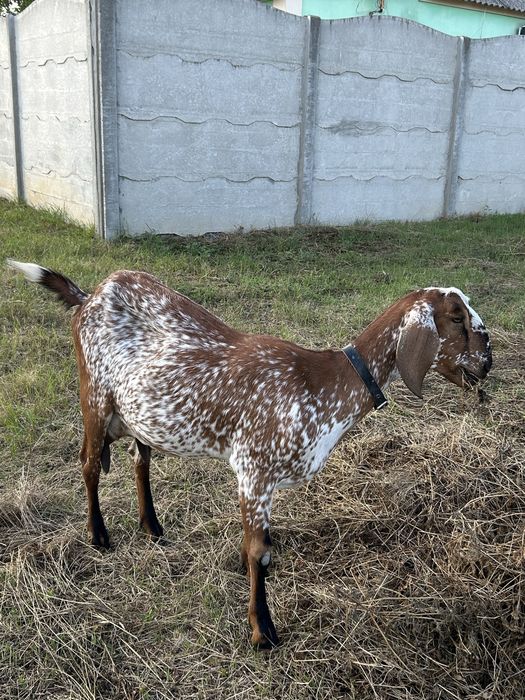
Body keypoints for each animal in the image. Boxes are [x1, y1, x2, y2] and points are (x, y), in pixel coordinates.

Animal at [7, 260, 492, 649]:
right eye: (457, 318)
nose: (488, 363)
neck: (324, 383)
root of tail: (89, 295)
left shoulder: (259, 480)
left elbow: (260, 547)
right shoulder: (255, 470)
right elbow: (261, 551)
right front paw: (263, 632)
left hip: (140, 414)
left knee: (138, 460)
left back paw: (153, 528)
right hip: (94, 398)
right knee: (89, 463)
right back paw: (99, 535)